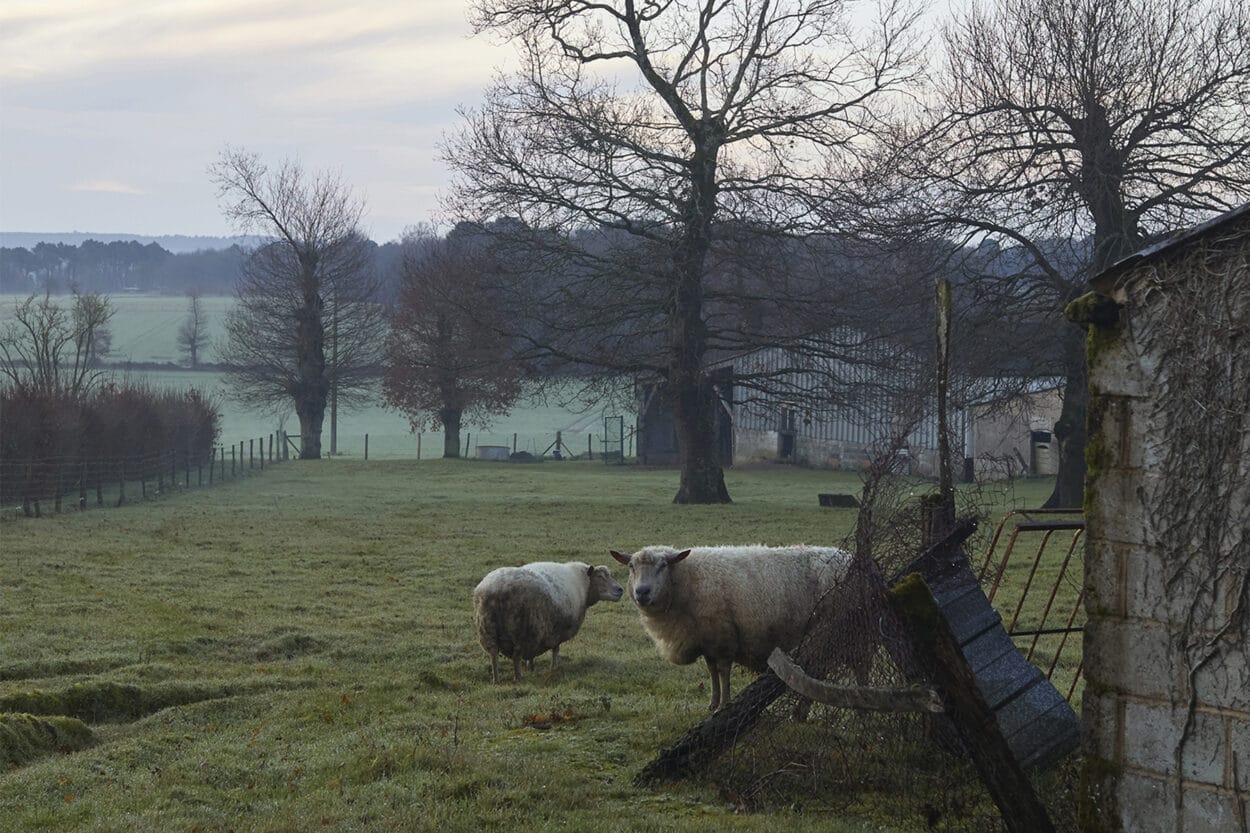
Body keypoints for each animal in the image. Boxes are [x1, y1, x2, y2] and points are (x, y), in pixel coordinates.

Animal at [470, 557, 622, 680]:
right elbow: (555, 650)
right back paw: (518, 678)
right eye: (600, 576)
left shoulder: (538, 634)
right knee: (516, 657)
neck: (584, 586)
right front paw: (554, 667)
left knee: (493, 655)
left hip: (488, 631)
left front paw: (531, 667)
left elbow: (532, 654)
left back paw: (496, 679)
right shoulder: (557, 631)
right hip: (521, 631)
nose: (620, 590)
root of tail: (496, 590)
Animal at [612, 545, 855, 705]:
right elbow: (711, 671)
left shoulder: (723, 637)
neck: (686, 581)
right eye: (631, 567)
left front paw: (724, 704)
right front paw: (713, 703)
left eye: (663, 565)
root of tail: (850, 557)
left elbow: (723, 671)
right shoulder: (707, 640)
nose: (642, 592)